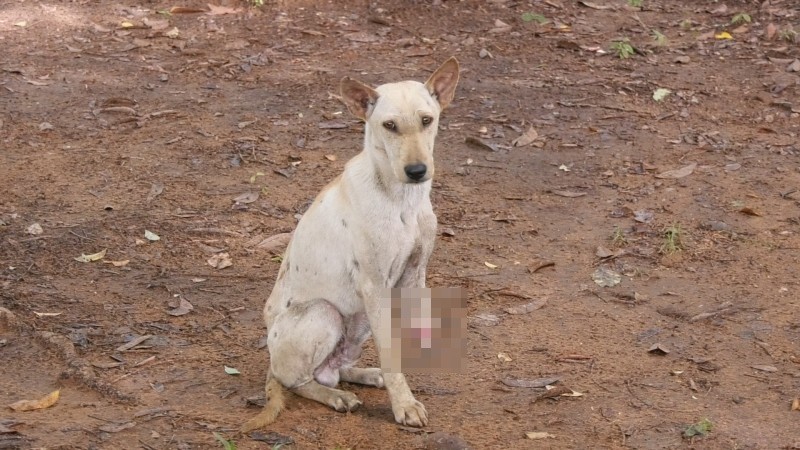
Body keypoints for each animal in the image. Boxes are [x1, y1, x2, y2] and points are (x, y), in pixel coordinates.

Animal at [241, 57, 460, 432]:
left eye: (427, 120)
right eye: (389, 125)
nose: (417, 170)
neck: (401, 200)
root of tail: (271, 360)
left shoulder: (414, 275)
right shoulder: (374, 287)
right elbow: (391, 353)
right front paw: (404, 405)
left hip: (358, 323)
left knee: (335, 368)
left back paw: (366, 375)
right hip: (325, 313)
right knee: (297, 381)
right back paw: (336, 397)